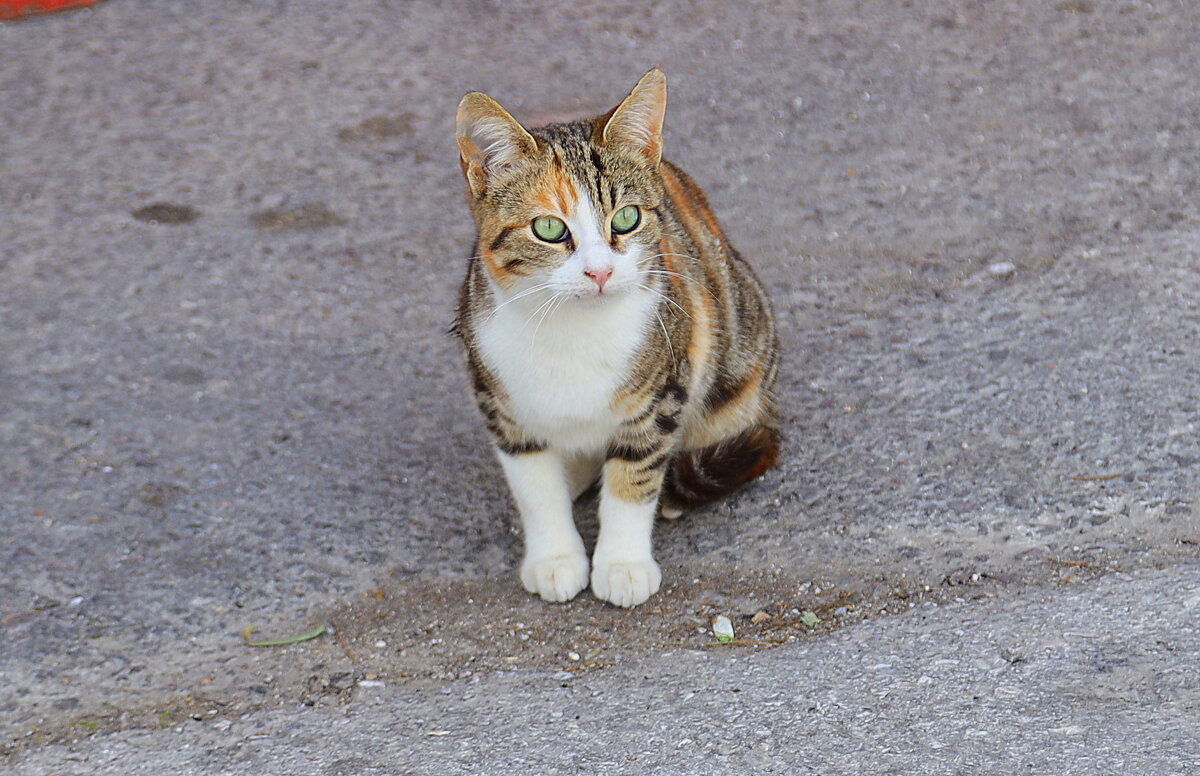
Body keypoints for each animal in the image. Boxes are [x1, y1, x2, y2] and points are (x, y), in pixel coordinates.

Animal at [451, 68, 777, 606]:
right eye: (548, 228)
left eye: (626, 218)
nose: (600, 271)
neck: (571, 327)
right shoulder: (499, 400)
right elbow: (535, 487)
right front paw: (555, 558)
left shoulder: (665, 386)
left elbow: (634, 477)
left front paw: (622, 564)